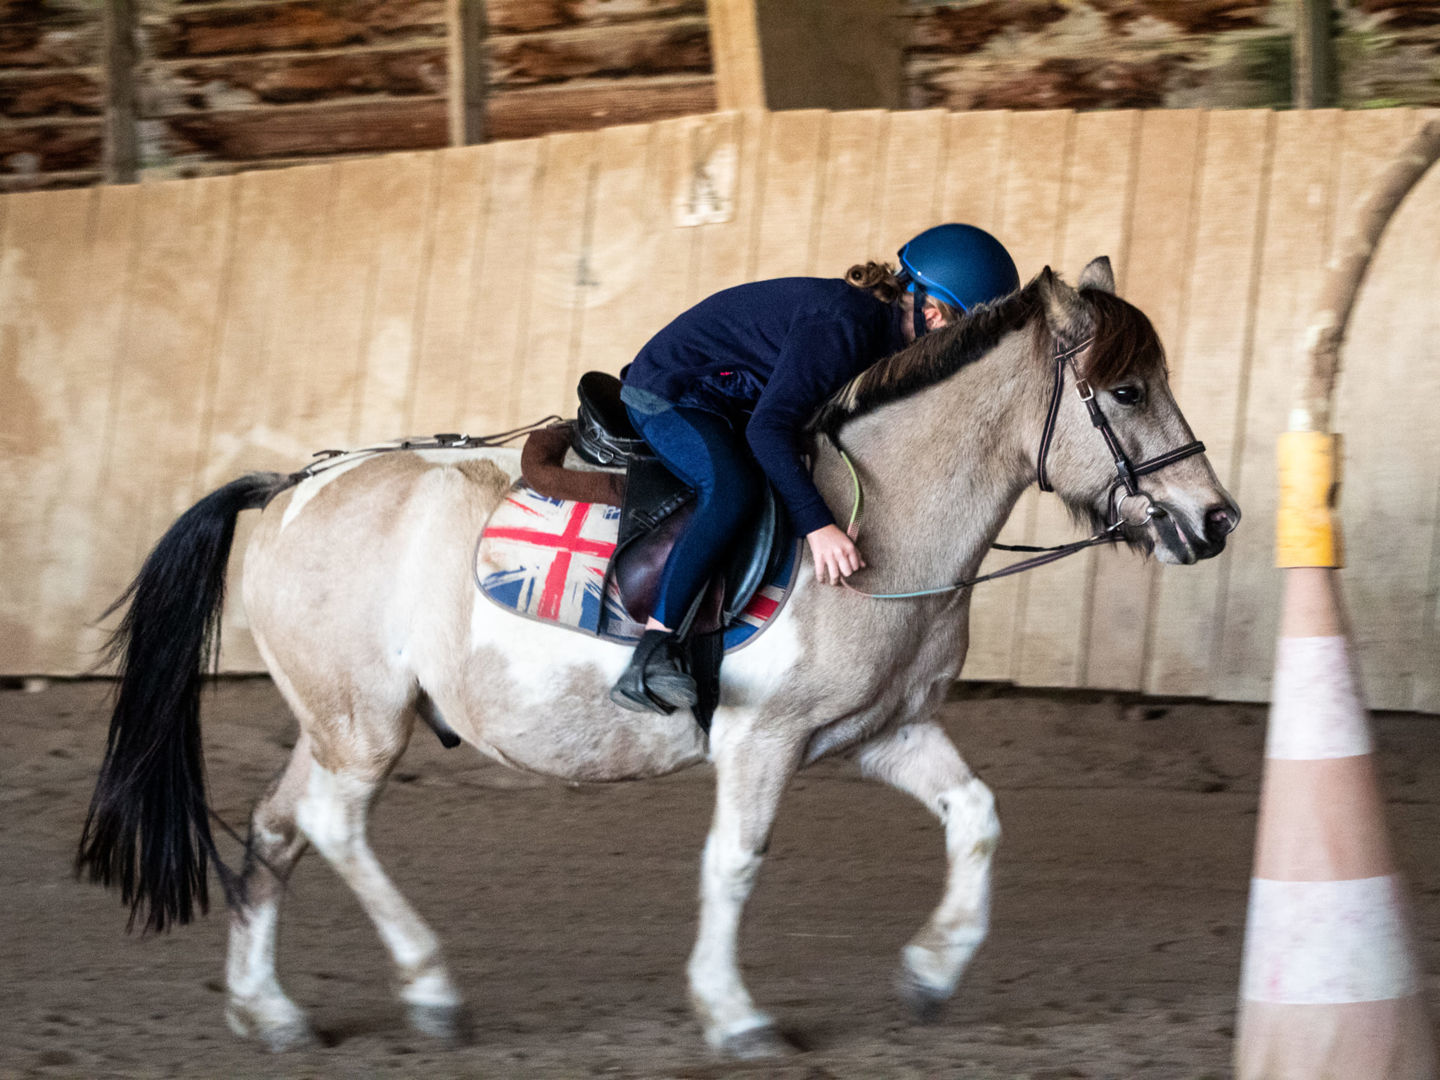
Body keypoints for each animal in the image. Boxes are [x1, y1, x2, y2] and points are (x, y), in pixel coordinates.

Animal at [81, 260, 1238, 1059]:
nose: (1215, 520)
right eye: (1127, 393)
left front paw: (931, 973)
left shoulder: (882, 733)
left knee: (277, 829)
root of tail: (289, 487)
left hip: (328, 722)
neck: (889, 519)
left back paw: (268, 1011)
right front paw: (735, 1017)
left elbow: (978, 819)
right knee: (329, 825)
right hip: (363, 724)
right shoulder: (763, 739)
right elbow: (735, 864)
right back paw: (429, 988)